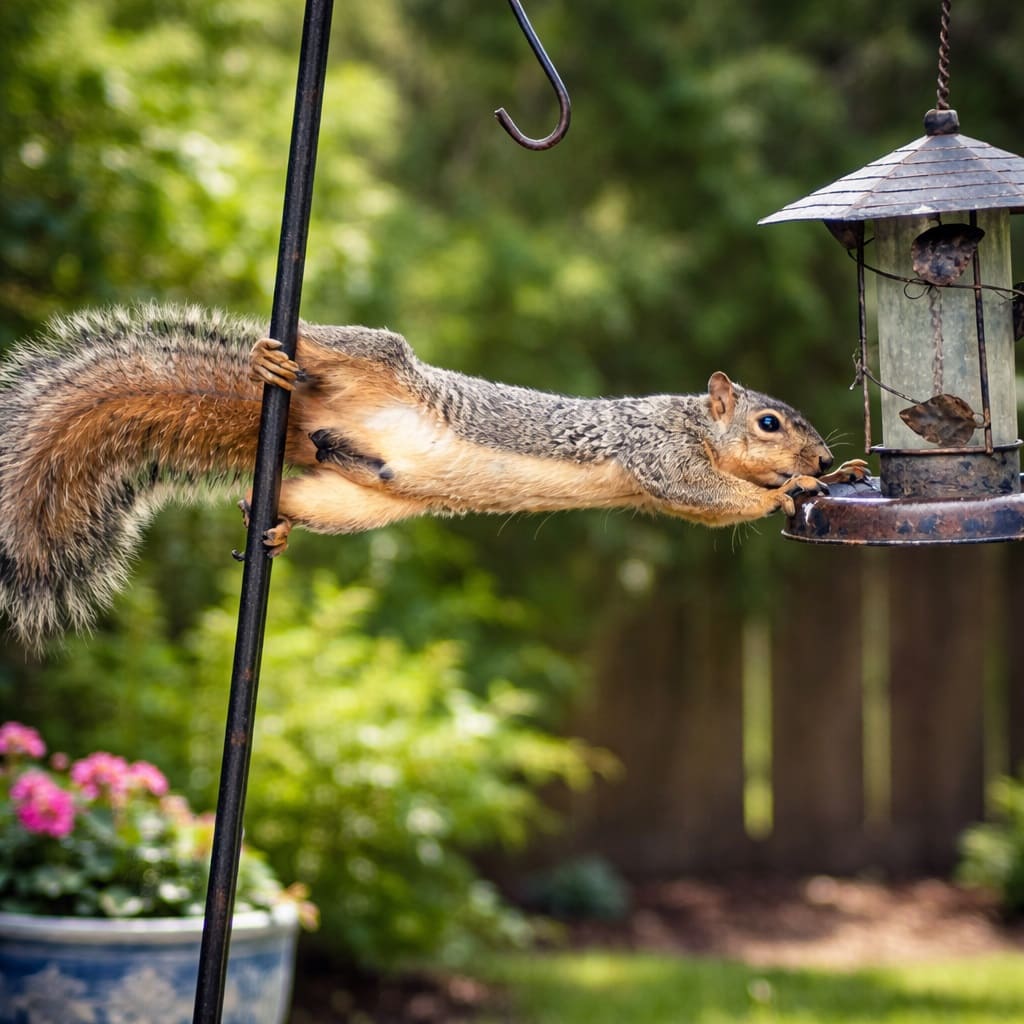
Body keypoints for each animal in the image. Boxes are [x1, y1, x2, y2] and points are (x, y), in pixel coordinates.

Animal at [0, 303, 865, 647]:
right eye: (769, 423)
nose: (821, 460)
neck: (696, 423)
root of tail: (310, 421)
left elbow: (715, 508)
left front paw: (838, 474)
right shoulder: (653, 452)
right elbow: (705, 493)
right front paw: (791, 490)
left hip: (353, 498)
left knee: (295, 492)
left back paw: (270, 518)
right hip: (374, 356)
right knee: (326, 342)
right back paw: (273, 351)